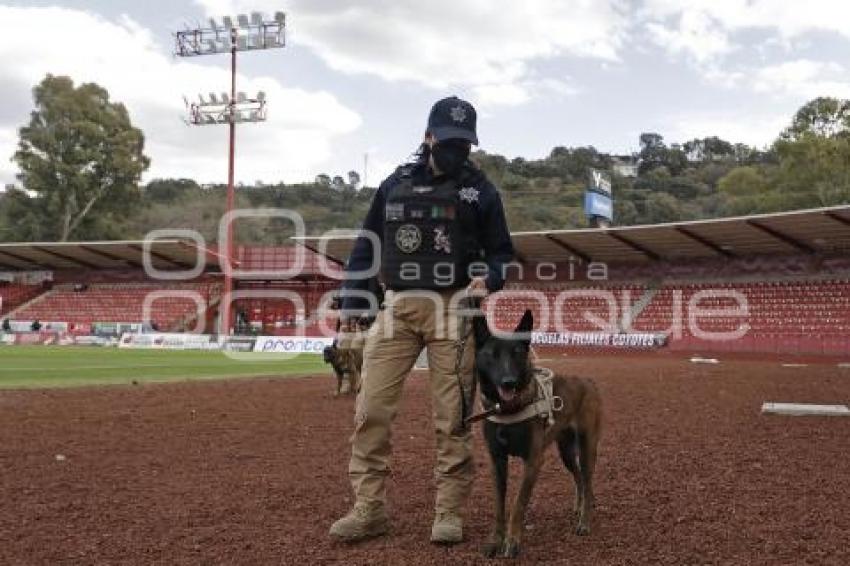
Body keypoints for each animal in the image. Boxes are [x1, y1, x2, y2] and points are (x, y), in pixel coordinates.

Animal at [470, 310, 604, 560]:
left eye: (517, 353)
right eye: (491, 355)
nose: (509, 382)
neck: (507, 409)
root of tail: (588, 381)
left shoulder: (533, 461)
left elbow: (518, 503)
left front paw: (512, 541)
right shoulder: (497, 461)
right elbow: (499, 506)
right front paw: (495, 540)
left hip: (587, 448)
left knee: (588, 481)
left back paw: (584, 521)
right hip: (566, 453)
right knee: (579, 478)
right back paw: (579, 506)